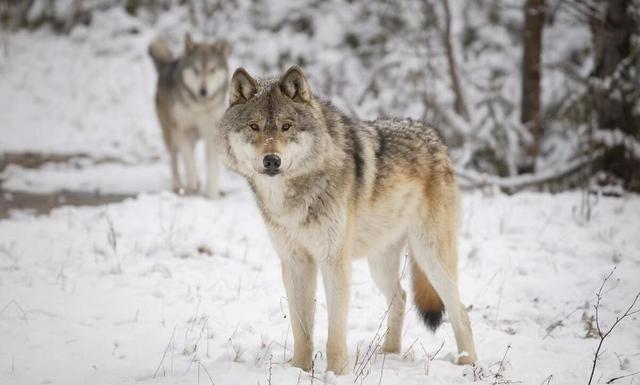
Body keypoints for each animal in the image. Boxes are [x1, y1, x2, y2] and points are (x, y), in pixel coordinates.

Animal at [149, 33, 231, 198]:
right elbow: (188, 160)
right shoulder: (181, 129)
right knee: (175, 159)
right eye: (196, 70)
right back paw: (179, 185)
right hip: (171, 134)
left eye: (212, 70)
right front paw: (192, 183)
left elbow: (211, 167)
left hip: (194, 136)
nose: (203, 91)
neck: (198, 106)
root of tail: (167, 65)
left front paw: (212, 195)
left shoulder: (212, 133)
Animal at [218, 67, 478, 376]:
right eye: (254, 127)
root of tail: (435, 135)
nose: (271, 160)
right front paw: (299, 370)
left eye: (286, 126)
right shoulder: (295, 263)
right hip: (380, 265)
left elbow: (335, 332)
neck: (293, 196)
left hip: (431, 257)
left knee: (459, 310)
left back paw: (467, 363)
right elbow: (302, 330)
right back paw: (389, 353)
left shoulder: (334, 261)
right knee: (401, 297)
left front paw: (337, 373)